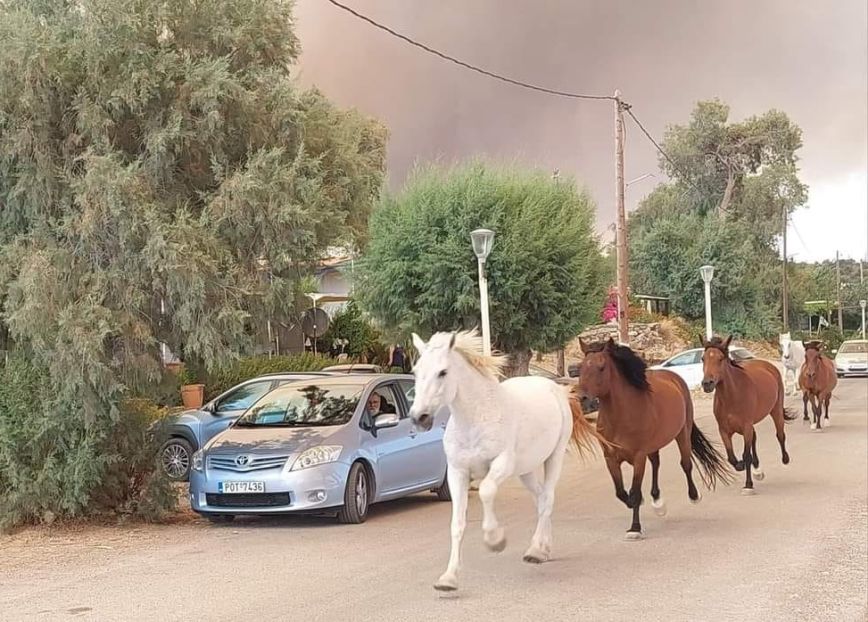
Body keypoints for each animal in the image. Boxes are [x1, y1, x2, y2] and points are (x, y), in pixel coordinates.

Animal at [408, 330, 600, 592]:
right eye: (416, 371)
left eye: (443, 372)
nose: (419, 417)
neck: (477, 418)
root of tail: (556, 389)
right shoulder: (457, 473)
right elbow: (457, 523)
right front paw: (448, 578)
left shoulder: (501, 464)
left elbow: (486, 491)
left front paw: (495, 540)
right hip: (526, 470)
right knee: (541, 499)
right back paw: (543, 548)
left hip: (554, 457)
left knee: (548, 498)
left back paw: (535, 551)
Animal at [580, 338, 728, 540]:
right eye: (581, 367)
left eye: (601, 367)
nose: (582, 398)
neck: (620, 417)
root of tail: (673, 377)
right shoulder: (610, 458)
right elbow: (620, 492)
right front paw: (635, 503)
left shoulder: (638, 457)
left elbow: (634, 491)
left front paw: (634, 528)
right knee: (656, 463)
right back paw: (658, 502)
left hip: (682, 433)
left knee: (686, 463)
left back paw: (693, 496)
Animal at [700, 338, 792, 494]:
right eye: (703, 359)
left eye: (720, 358)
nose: (707, 383)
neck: (732, 396)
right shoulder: (724, 430)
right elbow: (731, 457)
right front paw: (740, 465)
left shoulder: (746, 426)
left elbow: (746, 455)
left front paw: (748, 485)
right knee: (755, 438)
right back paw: (757, 469)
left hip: (776, 410)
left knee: (780, 434)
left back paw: (785, 458)